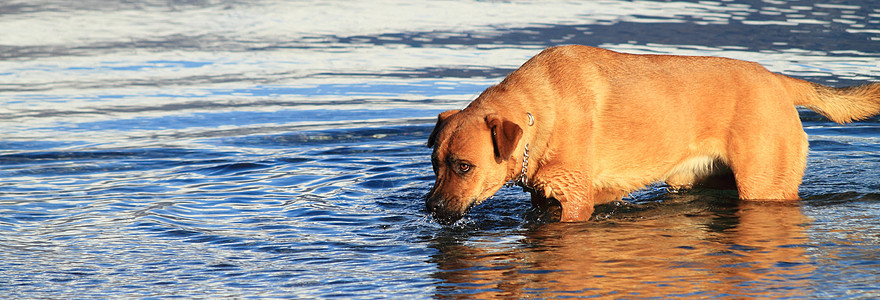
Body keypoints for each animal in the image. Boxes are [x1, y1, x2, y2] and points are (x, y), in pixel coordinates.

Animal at [422, 43, 876, 224]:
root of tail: (778, 79)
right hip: (703, 181)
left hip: (765, 185)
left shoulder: (575, 202)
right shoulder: (545, 199)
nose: (430, 207)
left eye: (464, 166)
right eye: (434, 164)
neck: (539, 114)